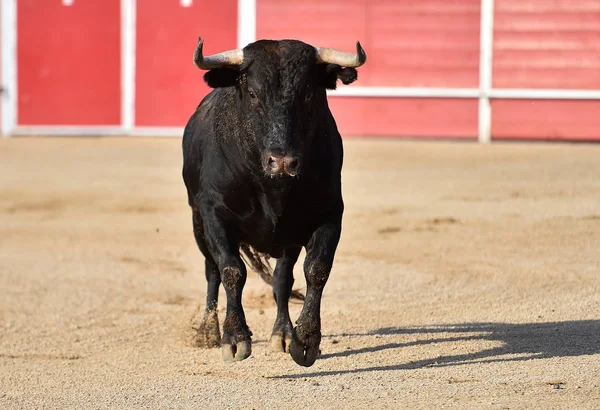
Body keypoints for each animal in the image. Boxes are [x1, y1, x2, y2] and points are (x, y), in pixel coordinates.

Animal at [180, 37, 364, 366]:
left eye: (307, 93)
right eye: (253, 93)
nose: (282, 161)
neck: (272, 187)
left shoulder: (330, 214)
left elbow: (316, 269)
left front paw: (305, 340)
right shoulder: (214, 215)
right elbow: (231, 271)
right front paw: (234, 338)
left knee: (281, 281)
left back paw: (283, 334)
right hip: (196, 220)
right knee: (212, 271)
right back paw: (209, 332)